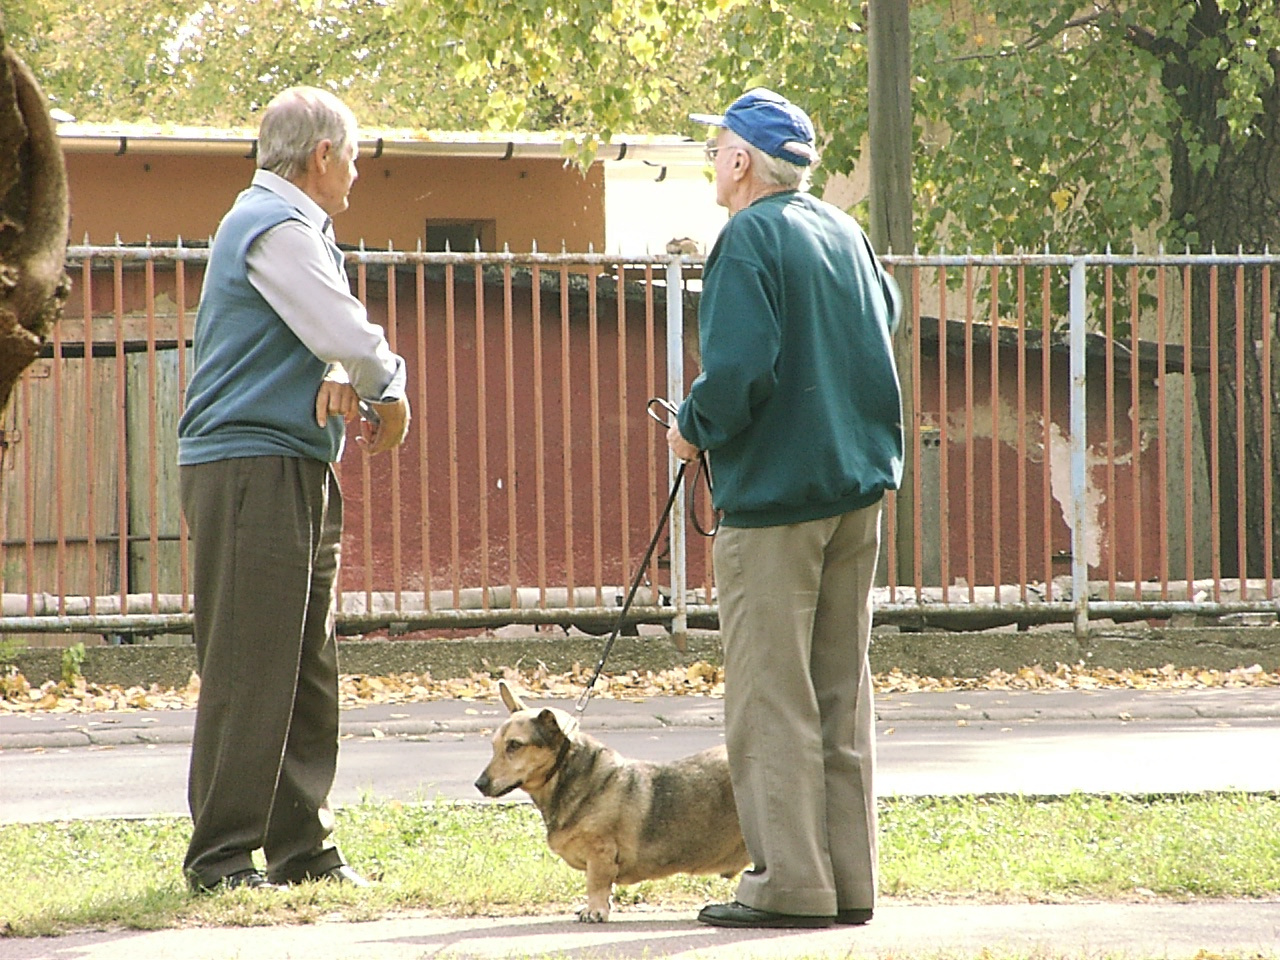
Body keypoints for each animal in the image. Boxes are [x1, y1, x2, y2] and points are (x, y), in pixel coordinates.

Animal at [473, 680, 747, 921]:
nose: (479, 784)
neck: (568, 775)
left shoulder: (601, 852)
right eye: (494, 745)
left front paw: (594, 911)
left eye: (514, 745)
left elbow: (596, 885)